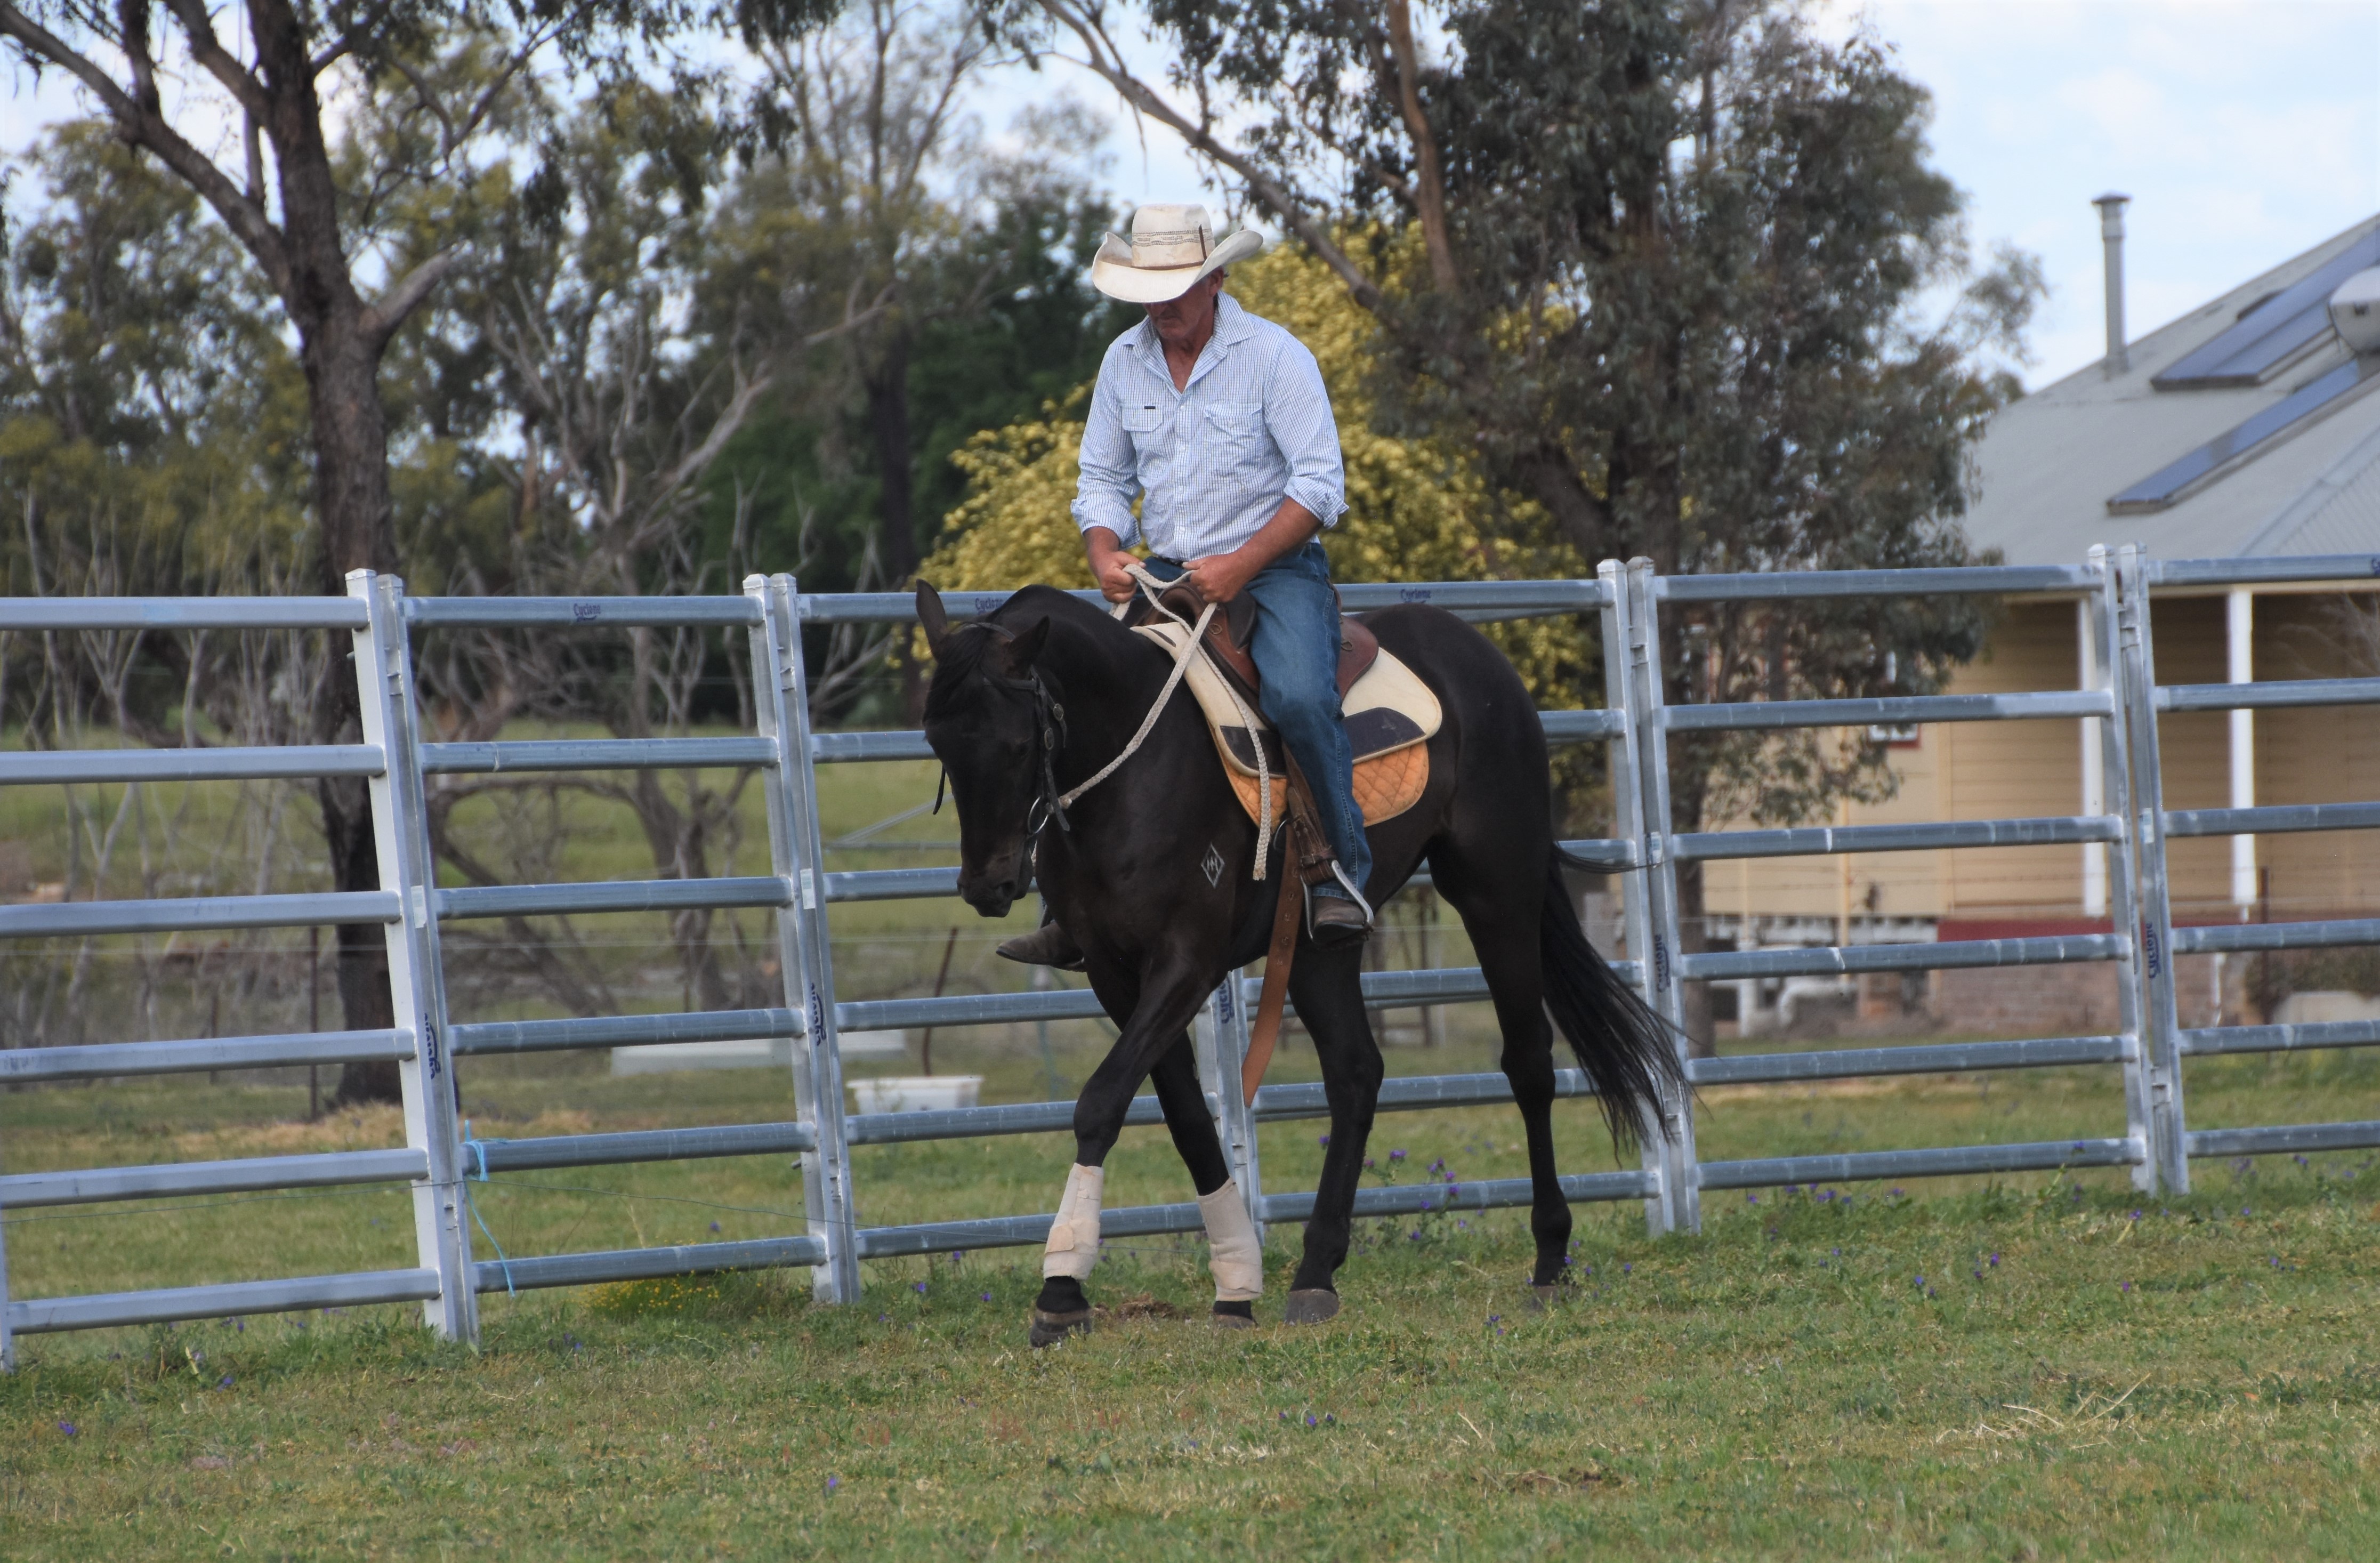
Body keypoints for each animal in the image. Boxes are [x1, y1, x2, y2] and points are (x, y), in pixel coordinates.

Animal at [913, 579, 1677, 1344]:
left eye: (1018, 744)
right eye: (937, 740)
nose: (987, 885)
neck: (1133, 770)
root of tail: (1475, 651)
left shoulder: (1187, 962)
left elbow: (1101, 1102)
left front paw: (1062, 1287)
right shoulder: (1113, 971)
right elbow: (1184, 1117)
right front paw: (1234, 1283)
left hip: (1497, 894)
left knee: (1528, 1064)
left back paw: (1550, 1260)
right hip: (1319, 948)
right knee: (1356, 1074)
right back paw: (1315, 1271)